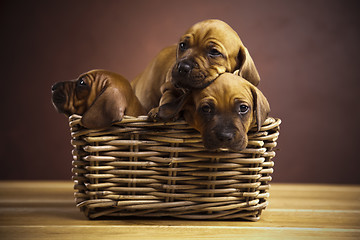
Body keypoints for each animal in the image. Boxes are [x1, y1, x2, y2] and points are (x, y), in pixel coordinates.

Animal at [131, 19, 260, 121]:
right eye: (182, 45)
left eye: (214, 52)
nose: (183, 67)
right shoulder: (168, 87)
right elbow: (168, 97)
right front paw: (160, 110)